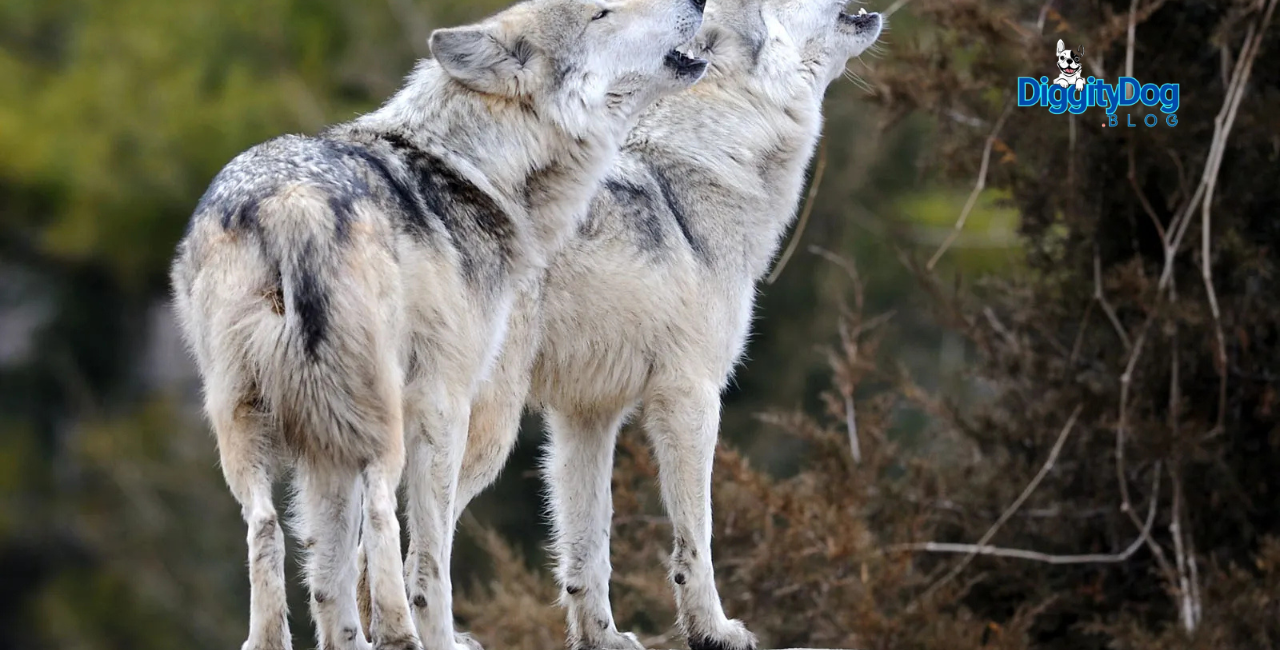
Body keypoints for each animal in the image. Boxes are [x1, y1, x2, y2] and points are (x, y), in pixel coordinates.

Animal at [169, 1, 707, 649]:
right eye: (602, 12)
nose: (698, 4)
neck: (475, 170)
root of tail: (290, 201)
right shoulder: (445, 401)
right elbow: (429, 555)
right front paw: (437, 636)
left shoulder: (325, 445)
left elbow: (330, 573)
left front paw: (348, 640)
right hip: (381, 419)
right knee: (381, 514)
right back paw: (401, 633)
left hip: (247, 421)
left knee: (266, 526)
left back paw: (275, 639)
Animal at [448, 1, 884, 649]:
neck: (706, 168)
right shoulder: (691, 395)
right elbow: (695, 540)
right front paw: (715, 630)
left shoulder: (586, 417)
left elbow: (588, 549)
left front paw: (601, 638)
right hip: (487, 432)